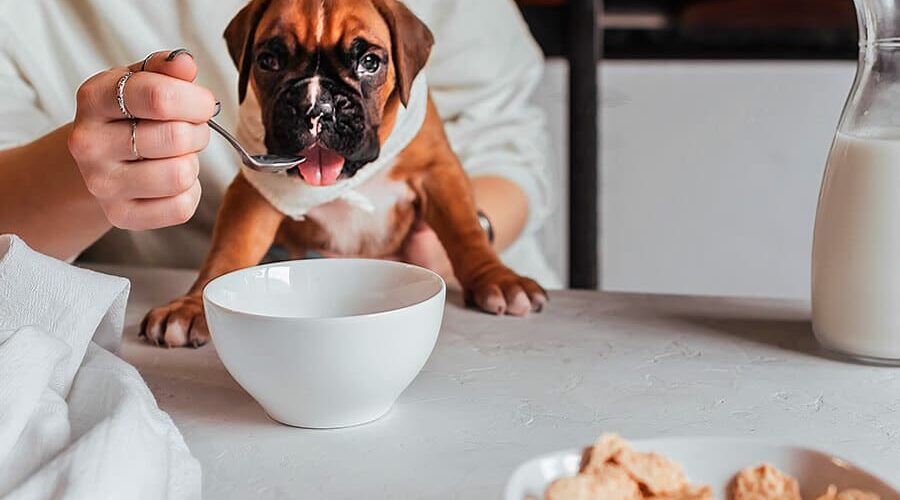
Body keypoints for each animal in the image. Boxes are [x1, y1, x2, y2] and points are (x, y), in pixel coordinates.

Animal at [142, 0, 548, 348]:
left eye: (369, 62)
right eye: (268, 60)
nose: (316, 106)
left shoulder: (438, 172)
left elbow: (465, 232)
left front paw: (498, 279)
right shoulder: (257, 188)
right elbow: (228, 250)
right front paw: (192, 304)